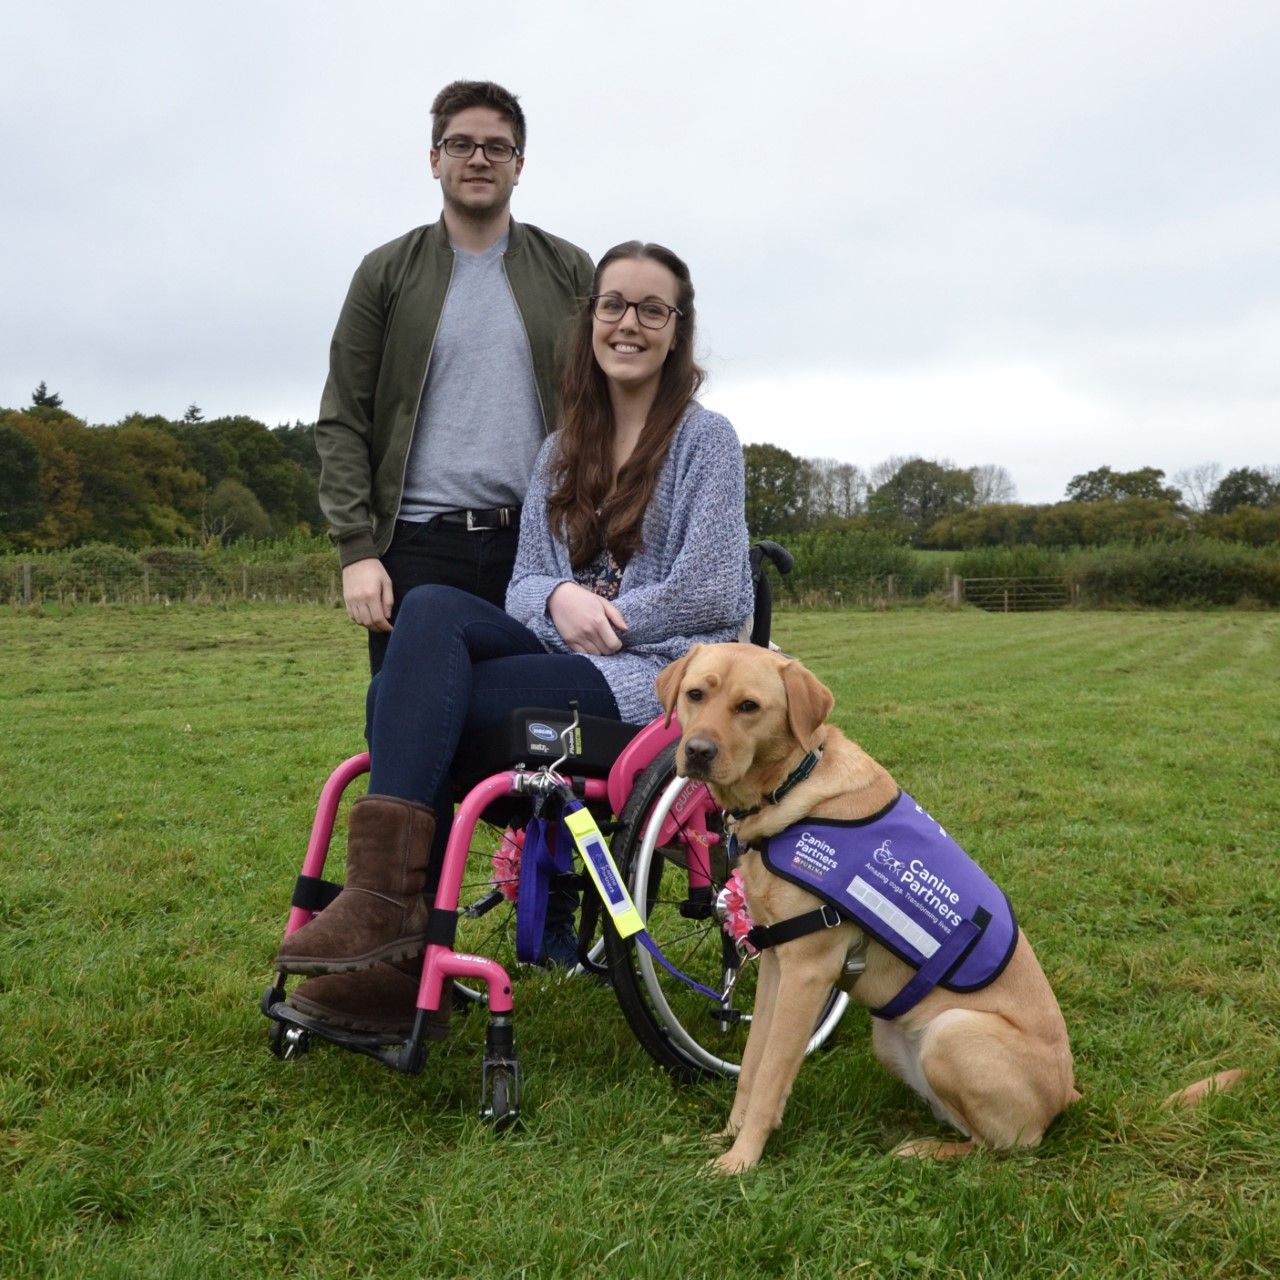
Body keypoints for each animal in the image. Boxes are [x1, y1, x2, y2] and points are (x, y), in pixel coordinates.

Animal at [655, 645, 1085, 1172]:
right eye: (696, 694)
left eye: (749, 707)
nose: (697, 751)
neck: (788, 789)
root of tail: (1066, 1094)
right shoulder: (777, 962)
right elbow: (753, 1065)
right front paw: (728, 1137)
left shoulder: (809, 971)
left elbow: (772, 1073)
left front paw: (742, 1160)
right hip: (890, 1038)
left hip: (951, 1031)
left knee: (999, 1146)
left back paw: (920, 1150)